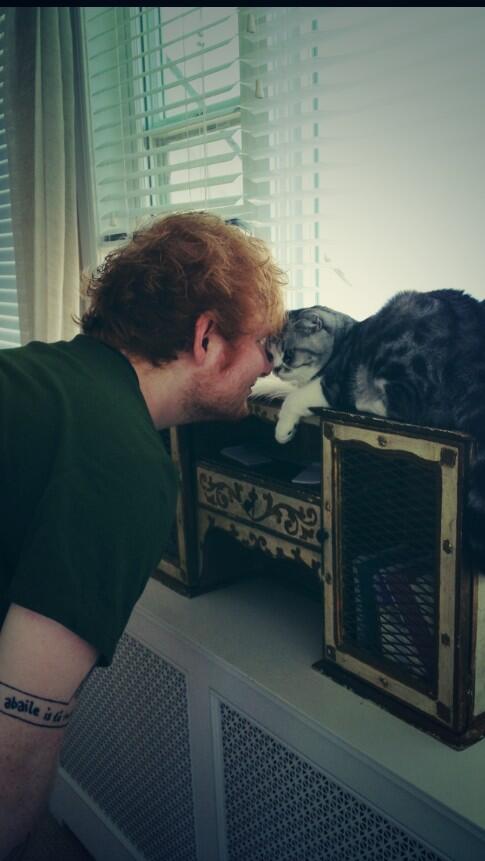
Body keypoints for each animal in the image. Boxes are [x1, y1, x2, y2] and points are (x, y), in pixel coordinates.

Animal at [251, 288, 485, 572]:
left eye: (288, 355)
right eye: (270, 355)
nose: (274, 369)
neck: (344, 342)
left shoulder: (333, 383)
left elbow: (298, 396)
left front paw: (283, 429)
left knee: (410, 406)